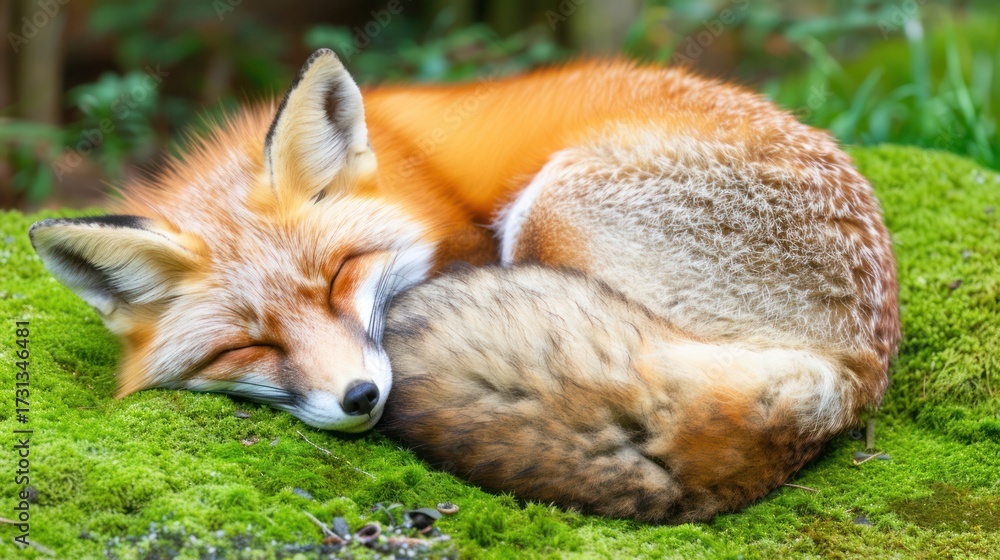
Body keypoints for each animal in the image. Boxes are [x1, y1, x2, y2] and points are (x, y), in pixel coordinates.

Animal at [29, 49, 899, 522]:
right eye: (249, 345)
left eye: (340, 275)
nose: (360, 398)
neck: (407, 174)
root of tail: (852, 375)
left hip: (551, 211)